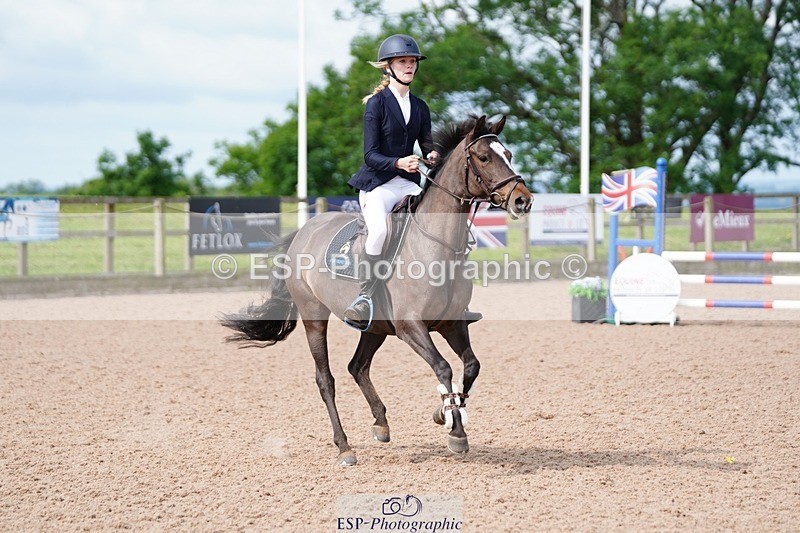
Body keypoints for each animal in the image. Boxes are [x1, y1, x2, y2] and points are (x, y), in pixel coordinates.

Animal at [221, 115, 532, 466]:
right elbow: (443, 366)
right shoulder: (411, 327)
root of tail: (304, 231)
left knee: (357, 366)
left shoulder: (452, 323)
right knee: (326, 379)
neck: (437, 246)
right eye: (483, 157)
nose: (523, 200)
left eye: (508, 154)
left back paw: (381, 424)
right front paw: (451, 425)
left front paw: (450, 415)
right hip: (315, 317)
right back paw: (344, 447)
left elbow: (470, 366)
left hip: (375, 328)